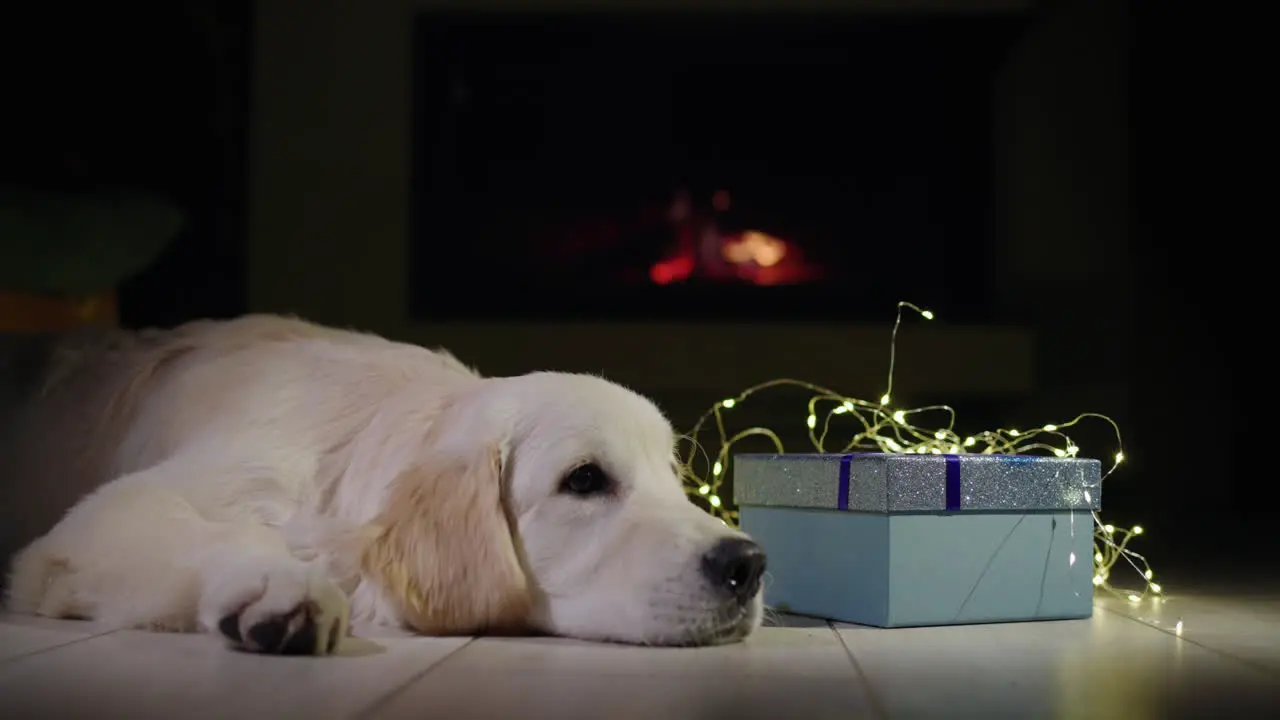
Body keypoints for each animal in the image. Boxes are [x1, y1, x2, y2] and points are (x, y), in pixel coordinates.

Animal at [0, 313, 762, 650]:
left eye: (675, 480)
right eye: (584, 480)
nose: (748, 565)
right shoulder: (110, 512)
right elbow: (222, 533)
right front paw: (281, 585)